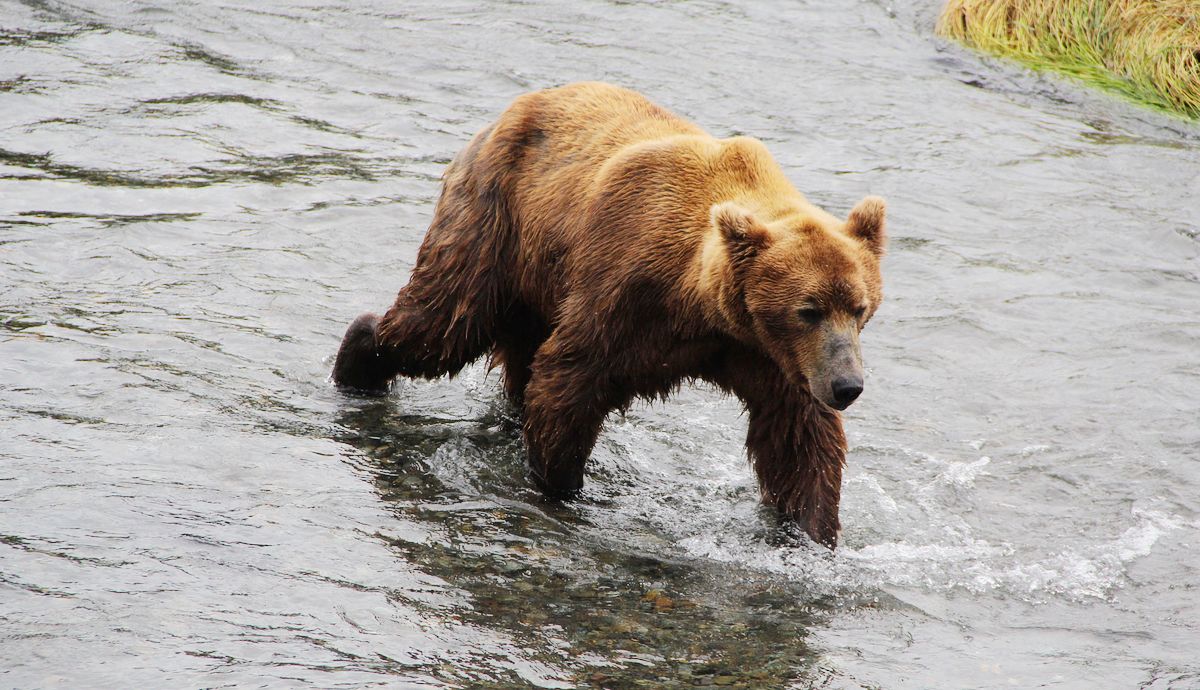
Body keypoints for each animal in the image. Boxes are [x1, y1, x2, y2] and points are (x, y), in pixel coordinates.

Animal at [333, 81, 888, 547]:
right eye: (808, 310)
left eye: (859, 307)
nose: (847, 386)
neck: (700, 305)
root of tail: (518, 105)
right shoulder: (626, 296)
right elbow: (569, 381)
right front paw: (563, 488)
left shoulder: (769, 356)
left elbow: (798, 438)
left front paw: (811, 532)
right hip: (495, 221)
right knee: (444, 324)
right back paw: (358, 360)